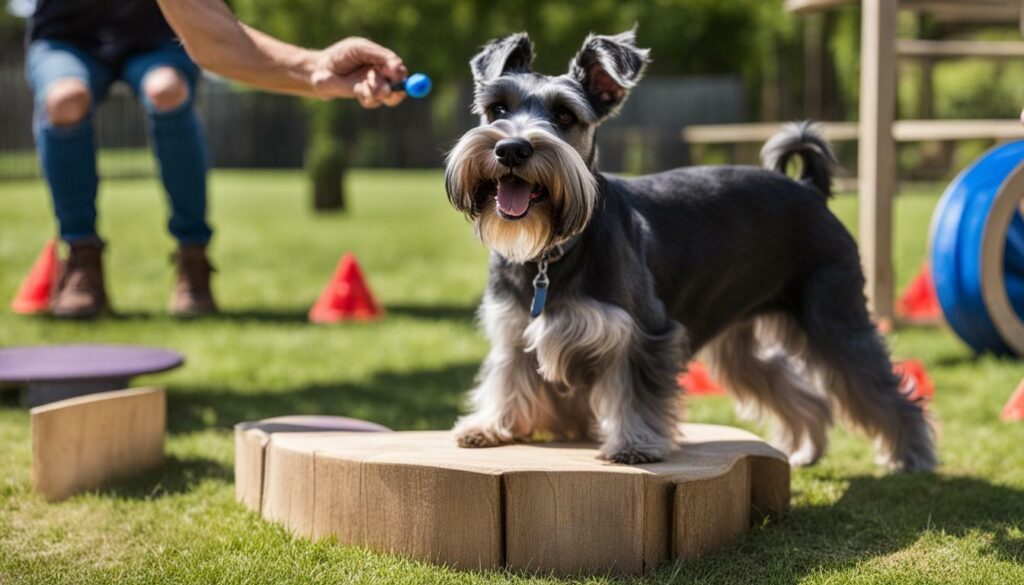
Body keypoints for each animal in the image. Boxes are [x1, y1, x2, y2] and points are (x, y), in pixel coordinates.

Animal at [442, 28, 937, 471]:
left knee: (877, 385)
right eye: (497, 108)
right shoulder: (513, 332)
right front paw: (490, 425)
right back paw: (806, 448)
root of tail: (807, 188)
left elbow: (635, 392)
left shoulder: (643, 333)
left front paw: (634, 445)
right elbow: (507, 379)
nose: (512, 149)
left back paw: (912, 455)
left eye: (565, 116)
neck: (551, 254)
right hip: (739, 346)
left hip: (833, 318)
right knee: (799, 390)